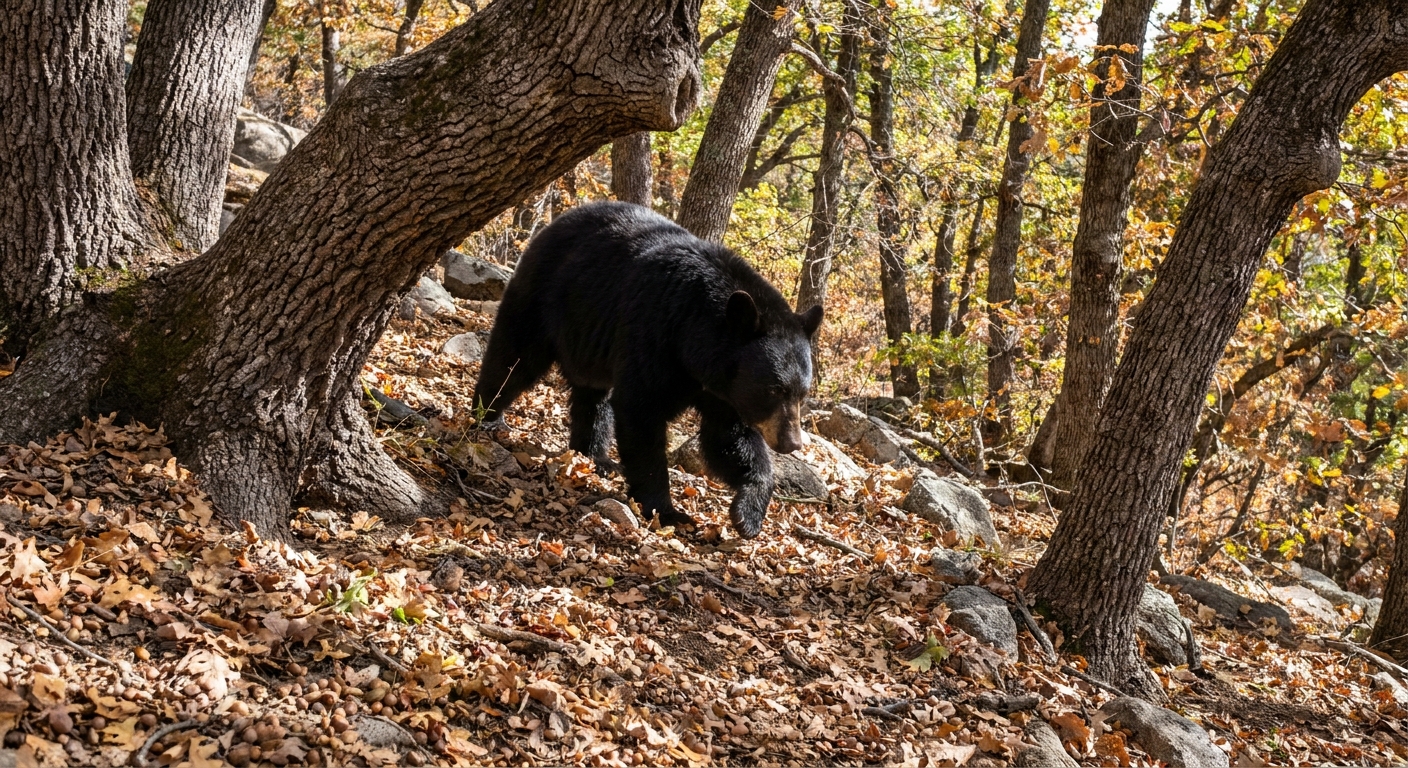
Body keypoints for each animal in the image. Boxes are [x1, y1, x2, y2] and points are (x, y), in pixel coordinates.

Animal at [472, 201, 822, 538]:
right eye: (774, 389)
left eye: (802, 394)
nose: (792, 443)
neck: (695, 342)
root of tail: (555, 223)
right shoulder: (655, 332)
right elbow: (641, 411)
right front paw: (667, 511)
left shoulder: (725, 390)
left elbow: (729, 439)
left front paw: (747, 515)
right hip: (544, 297)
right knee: (513, 358)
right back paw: (486, 416)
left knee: (592, 393)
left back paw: (598, 458)